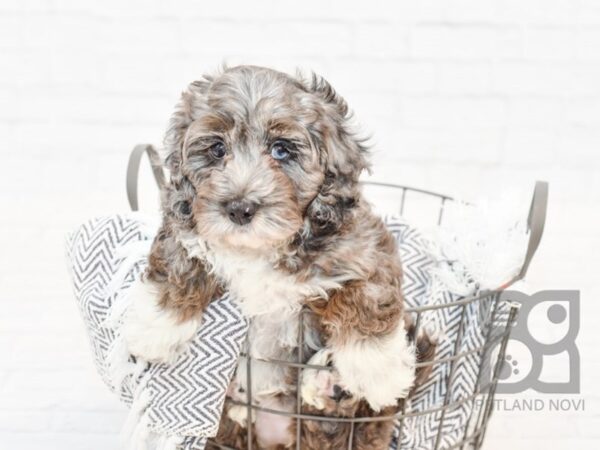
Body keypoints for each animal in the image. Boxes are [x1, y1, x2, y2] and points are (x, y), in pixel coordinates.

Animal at [125, 65, 436, 448]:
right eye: (216, 149)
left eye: (281, 150)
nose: (239, 209)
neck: (260, 247)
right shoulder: (184, 222)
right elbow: (179, 259)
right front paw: (154, 327)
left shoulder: (365, 247)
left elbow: (367, 296)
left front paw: (377, 368)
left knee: (338, 426)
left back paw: (333, 383)